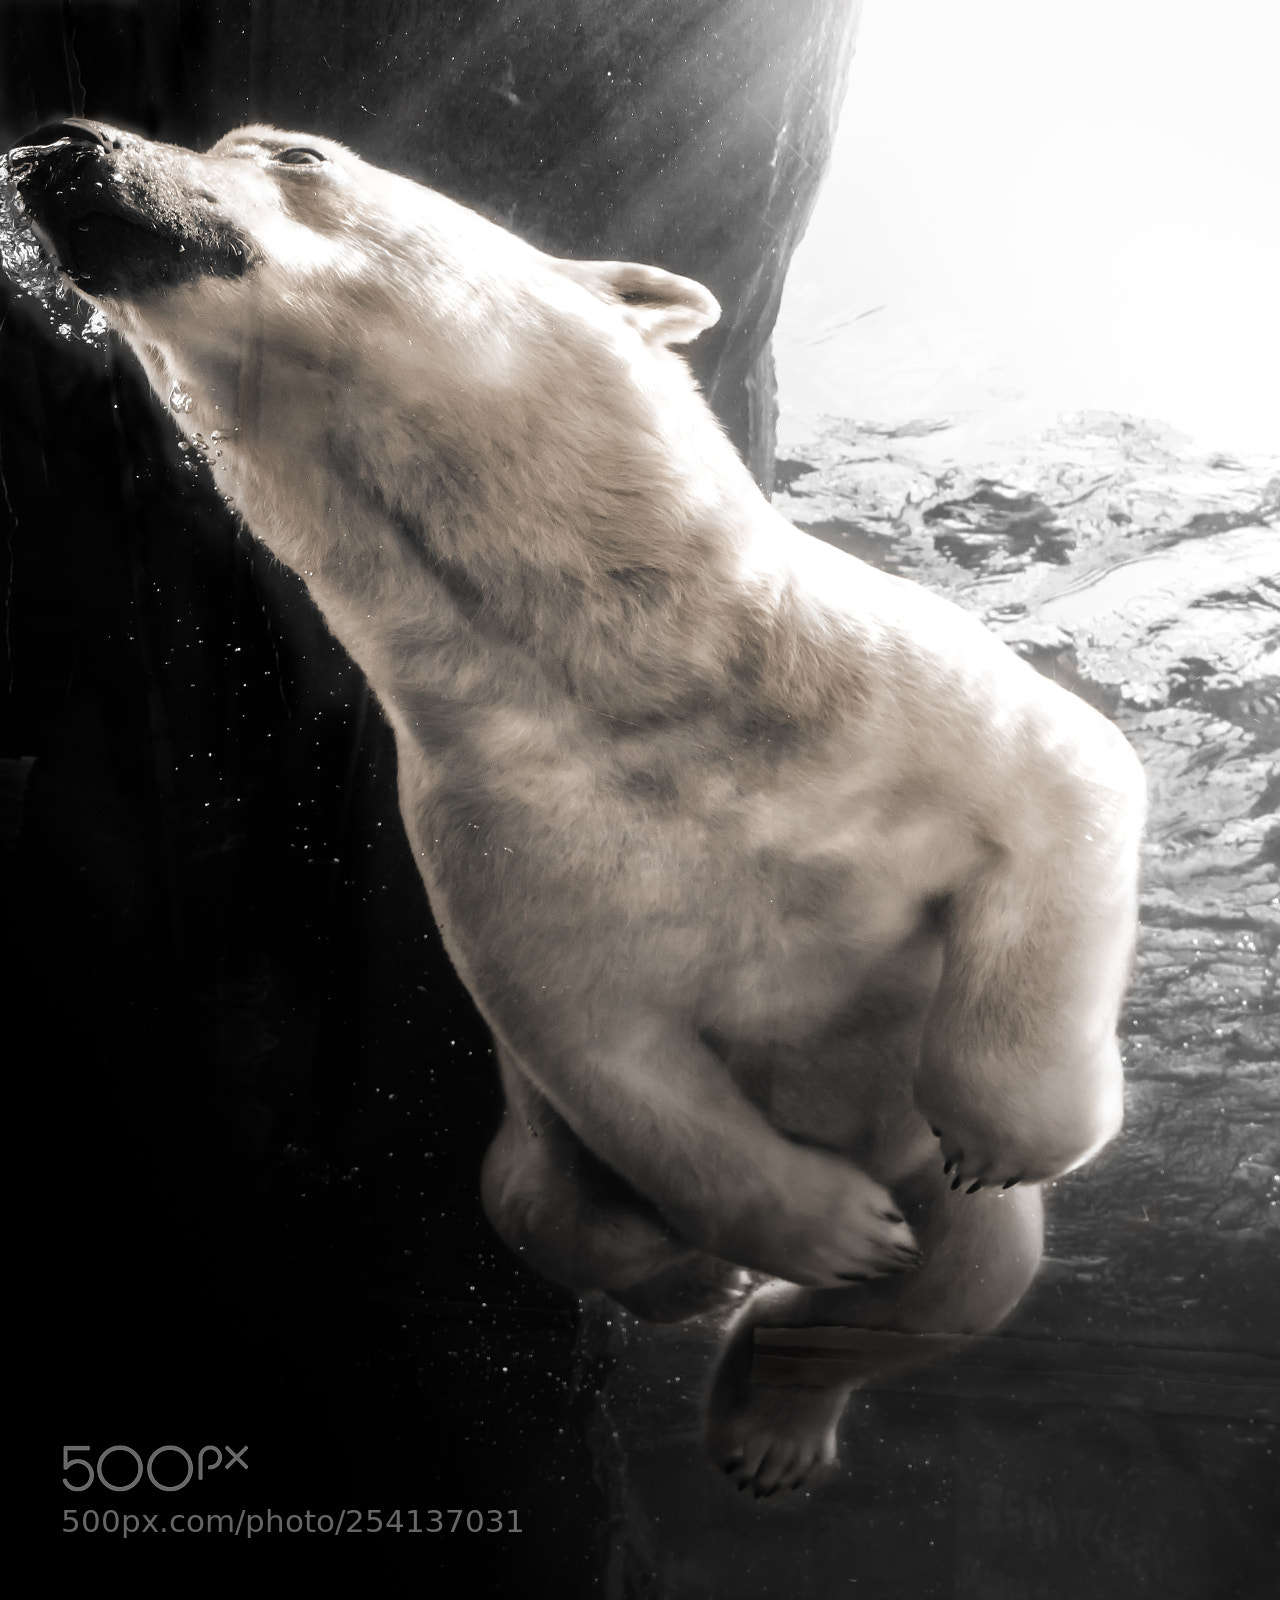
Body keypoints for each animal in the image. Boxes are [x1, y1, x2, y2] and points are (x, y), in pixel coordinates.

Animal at [7, 119, 1145, 1496]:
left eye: (293, 150)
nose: (57, 145)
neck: (634, 676)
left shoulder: (878, 691)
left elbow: (1065, 780)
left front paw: (1007, 1128)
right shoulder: (496, 827)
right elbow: (601, 1041)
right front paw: (821, 1225)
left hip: (926, 1184)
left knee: (959, 1281)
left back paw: (781, 1409)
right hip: (540, 1158)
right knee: (551, 1210)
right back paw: (719, 1295)